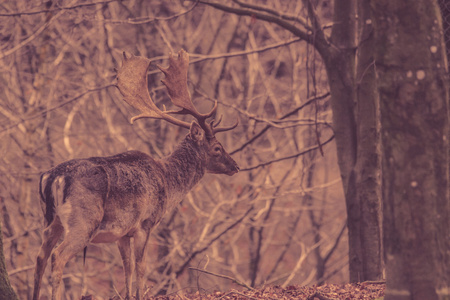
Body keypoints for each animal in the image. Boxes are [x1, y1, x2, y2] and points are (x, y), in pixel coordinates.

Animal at [32, 49, 239, 300]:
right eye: (217, 148)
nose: (235, 166)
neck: (168, 182)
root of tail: (53, 177)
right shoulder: (145, 223)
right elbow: (141, 267)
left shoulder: (123, 233)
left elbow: (127, 268)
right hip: (84, 220)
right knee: (58, 256)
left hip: (50, 221)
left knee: (40, 256)